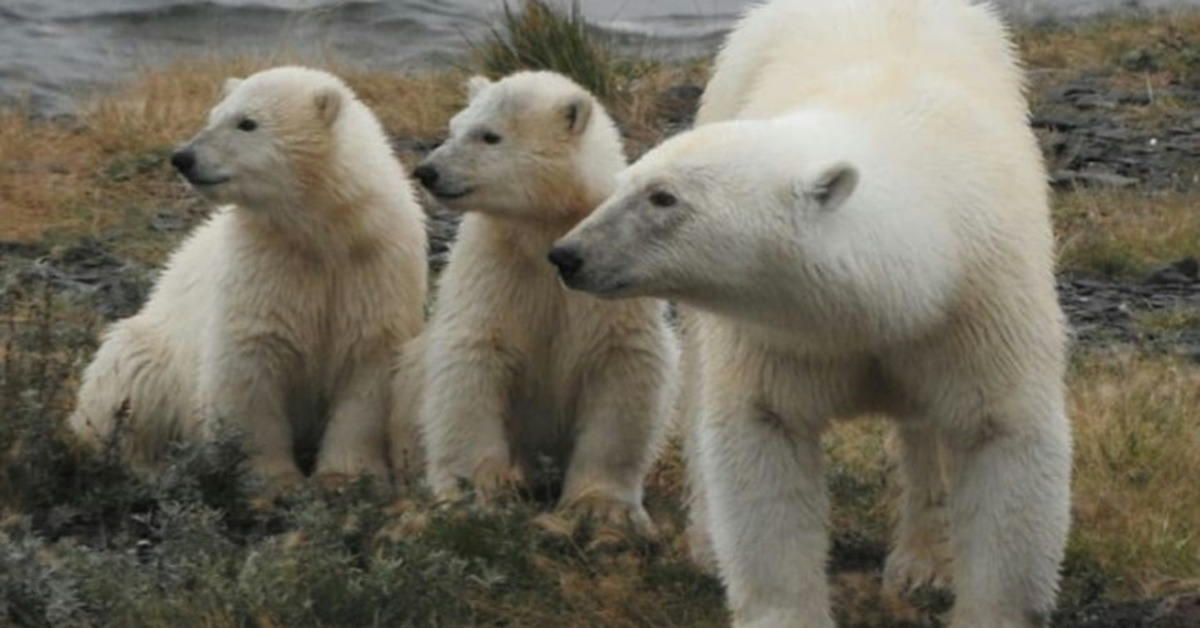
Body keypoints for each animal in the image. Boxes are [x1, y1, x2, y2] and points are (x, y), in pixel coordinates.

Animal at [69, 67, 427, 492]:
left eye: (247, 123)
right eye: (213, 115)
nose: (183, 157)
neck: (321, 232)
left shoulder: (373, 268)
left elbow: (366, 368)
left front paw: (347, 474)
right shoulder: (263, 264)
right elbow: (250, 364)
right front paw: (271, 477)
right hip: (151, 347)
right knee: (131, 380)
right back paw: (144, 465)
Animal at [549, 1, 1070, 628]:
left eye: (663, 197)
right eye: (624, 181)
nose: (568, 254)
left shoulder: (978, 311)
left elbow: (1003, 438)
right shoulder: (778, 337)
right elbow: (764, 439)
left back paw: (925, 562)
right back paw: (708, 542)